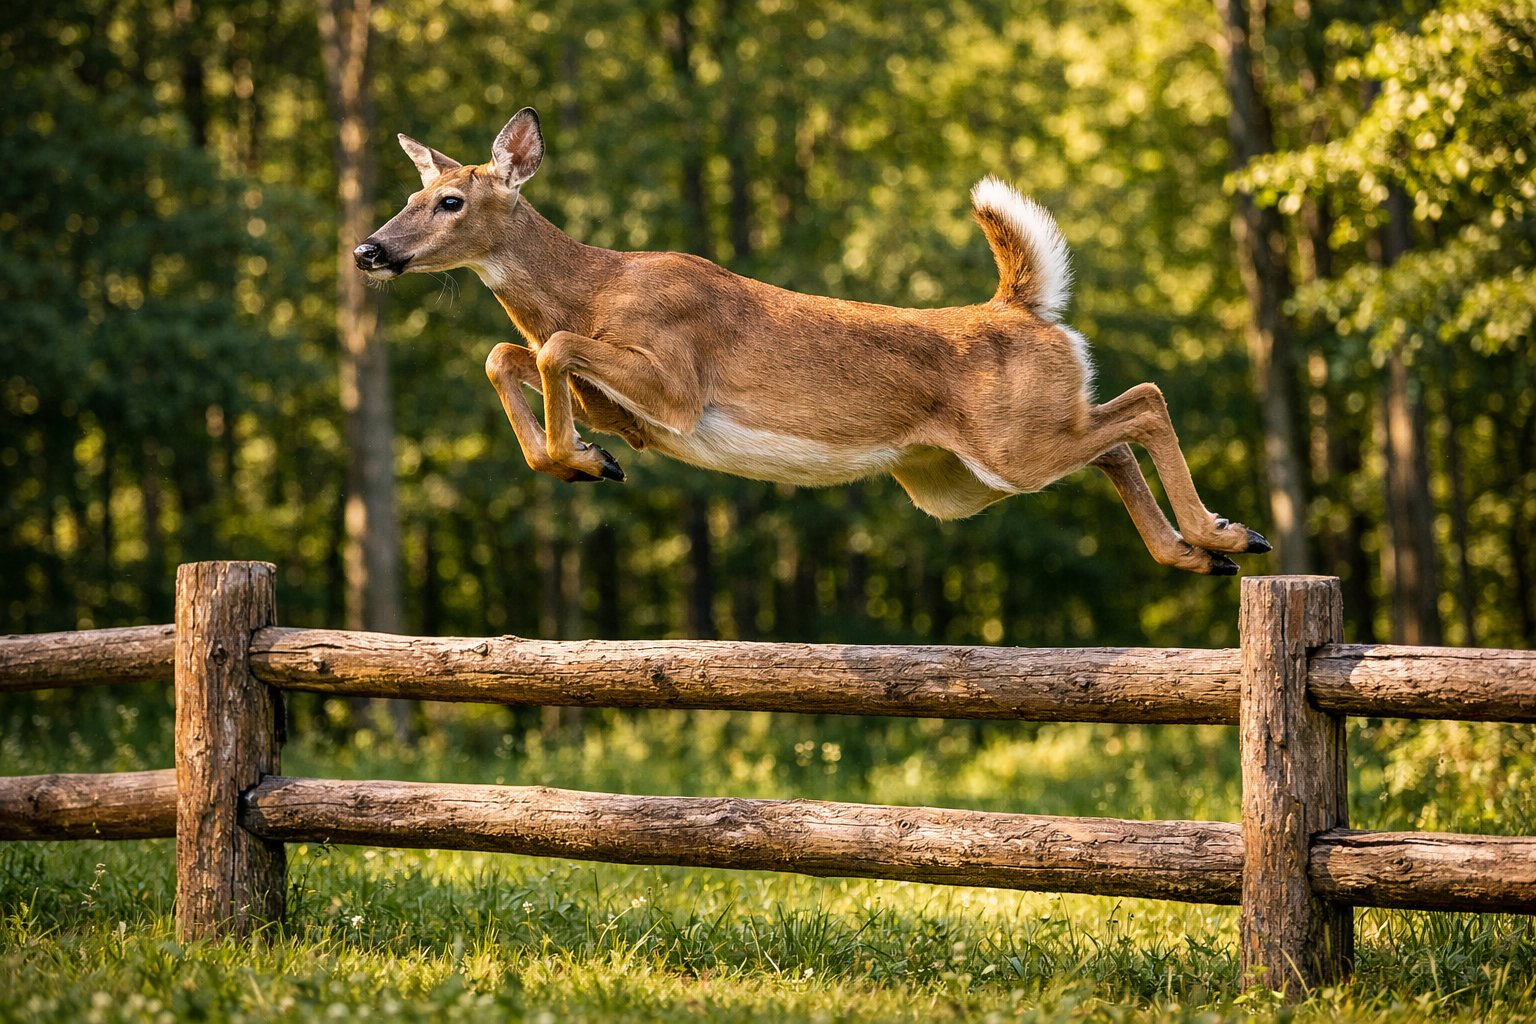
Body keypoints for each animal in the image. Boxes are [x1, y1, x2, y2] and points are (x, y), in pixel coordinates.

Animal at [354, 108, 1271, 575]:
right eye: (410, 193)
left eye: (449, 202)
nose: (369, 249)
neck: (590, 289)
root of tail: (1022, 307)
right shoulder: (630, 409)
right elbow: (506, 353)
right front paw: (581, 457)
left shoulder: (678, 384)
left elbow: (546, 349)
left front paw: (578, 458)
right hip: (962, 478)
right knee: (1110, 437)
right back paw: (1196, 552)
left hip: (1012, 445)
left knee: (1144, 402)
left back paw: (1229, 535)